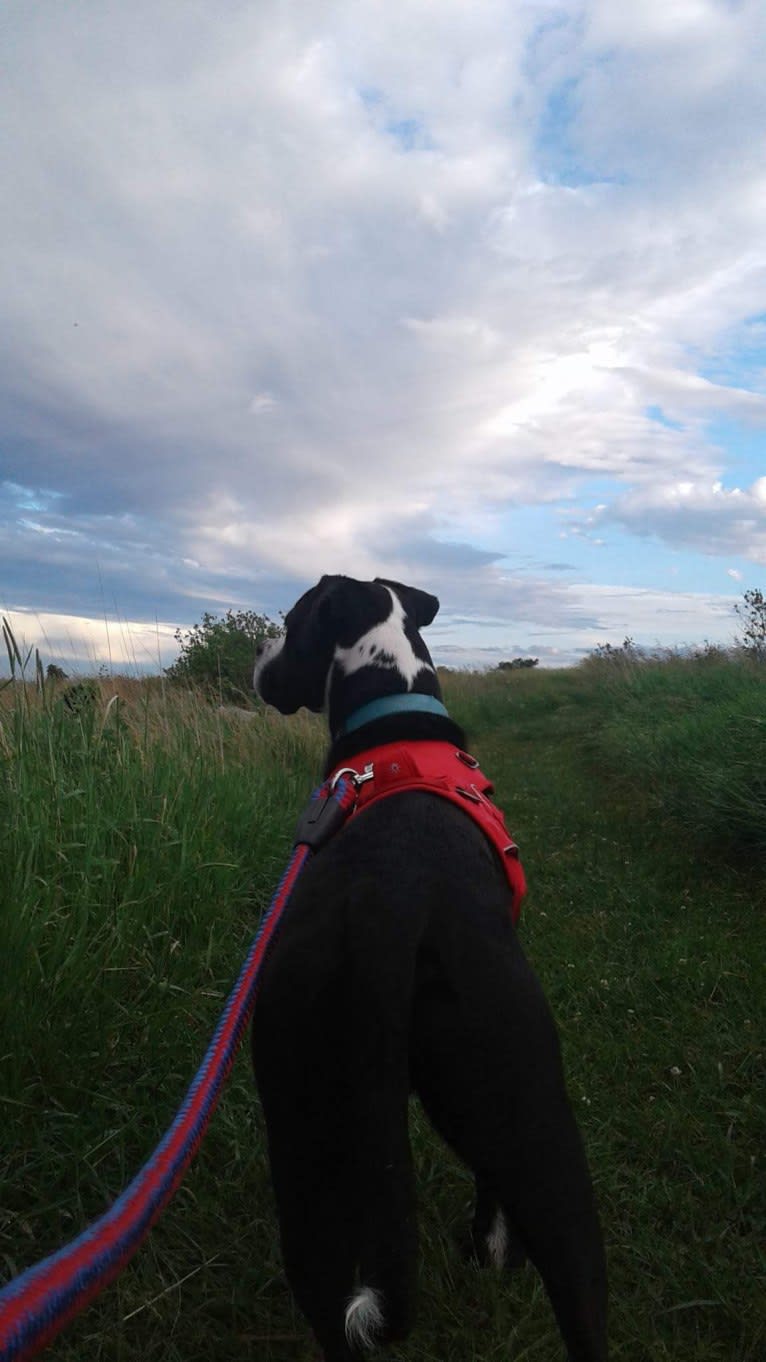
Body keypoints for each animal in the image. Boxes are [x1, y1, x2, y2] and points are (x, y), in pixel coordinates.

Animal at [253, 577, 605, 1362]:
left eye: (287, 622)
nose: (256, 655)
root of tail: (386, 913)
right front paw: (493, 1245)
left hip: (303, 1130)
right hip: (533, 1103)